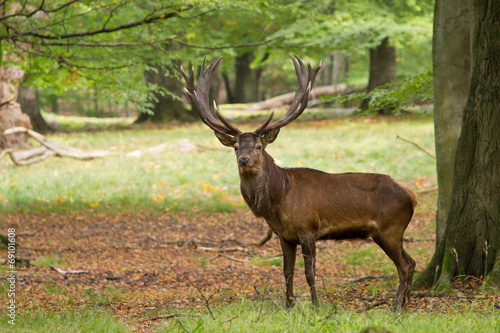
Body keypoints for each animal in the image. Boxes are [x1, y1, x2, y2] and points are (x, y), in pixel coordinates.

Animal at [182, 53, 416, 310]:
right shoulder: (284, 236)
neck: (278, 201)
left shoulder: (308, 229)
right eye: (235, 147)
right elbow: (287, 272)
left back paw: (397, 307)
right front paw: (289, 305)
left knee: (405, 265)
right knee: (412, 262)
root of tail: (411, 195)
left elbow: (309, 272)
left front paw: (315, 305)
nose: (244, 160)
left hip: (390, 228)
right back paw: (404, 305)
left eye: (259, 146)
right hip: (387, 232)